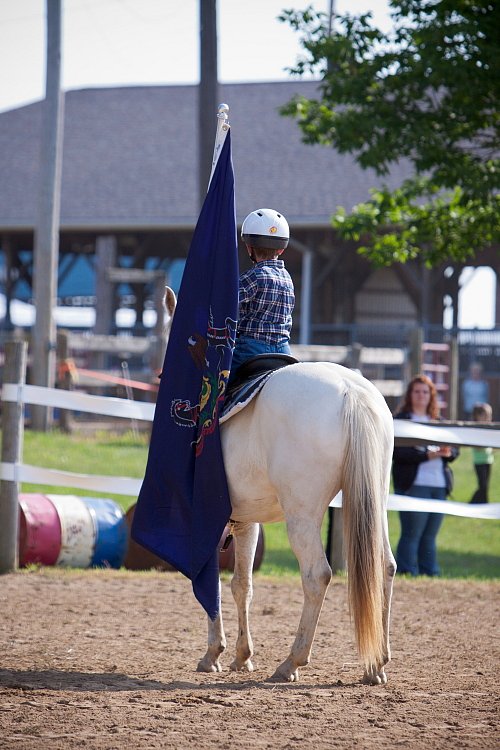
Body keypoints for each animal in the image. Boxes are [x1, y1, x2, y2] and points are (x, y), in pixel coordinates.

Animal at [162, 292, 396, 688]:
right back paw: (375, 664)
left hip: (302, 514)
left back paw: (291, 662)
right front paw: (242, 655)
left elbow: (214, 584)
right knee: (387, 566)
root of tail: (351, 392)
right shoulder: (245, 520)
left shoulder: (209, 519)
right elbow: (242, 584)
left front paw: (214, 654)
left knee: (317, 575)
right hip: (374, 502)